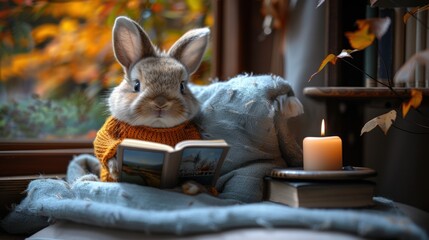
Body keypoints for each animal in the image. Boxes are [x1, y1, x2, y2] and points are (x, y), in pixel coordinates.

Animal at [93, 16, 209, 182]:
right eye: (136, 85)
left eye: (182, 87)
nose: (160, 103)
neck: (155, 128)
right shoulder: (109, 132)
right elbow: (104, 146)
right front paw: (115, 171)